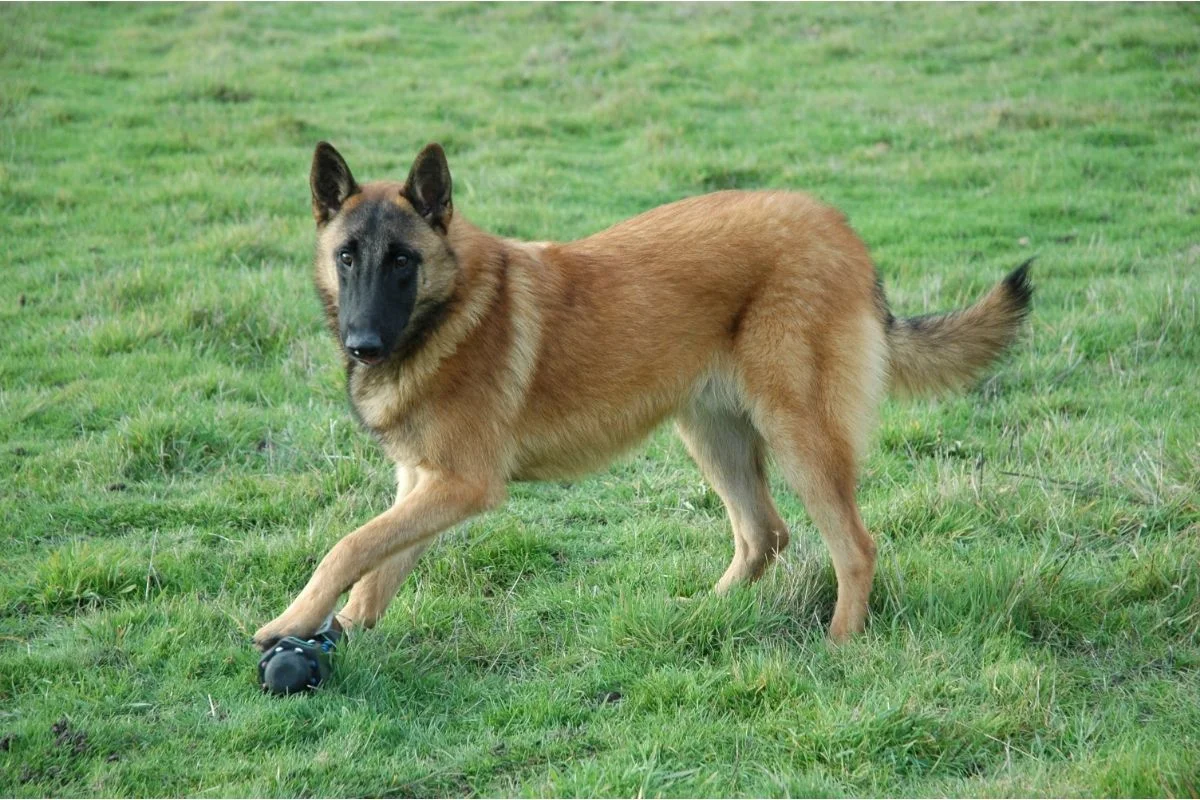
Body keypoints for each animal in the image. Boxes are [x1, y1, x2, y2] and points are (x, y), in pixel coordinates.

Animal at [248, 142, 1027, 652]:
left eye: (402, 261)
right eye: (347, 256)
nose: (363, 346)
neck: (450, 307)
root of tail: (841, 231)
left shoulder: (461, 484)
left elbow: (350, 544)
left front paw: (291, 623)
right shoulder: (425, 481)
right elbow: (381, 562)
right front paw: (343, 628)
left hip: (799, 436)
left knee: (855, 547)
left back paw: (841, 645)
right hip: (711, 435)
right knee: (763, 533)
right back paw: (703, 615)